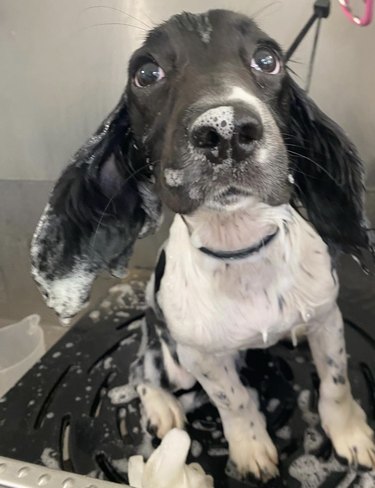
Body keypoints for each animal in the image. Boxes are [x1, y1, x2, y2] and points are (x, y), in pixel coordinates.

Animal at [30, 9, 374, 482]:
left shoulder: (327, 319)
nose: (226, 129)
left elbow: (336, 387)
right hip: (168, 357)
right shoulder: (203, 358)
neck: (244, 250)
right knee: (141, 372)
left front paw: (350, 435)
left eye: (268, 59)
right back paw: (162, 409)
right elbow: (236, 402)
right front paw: (251, 449)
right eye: (146, 73)